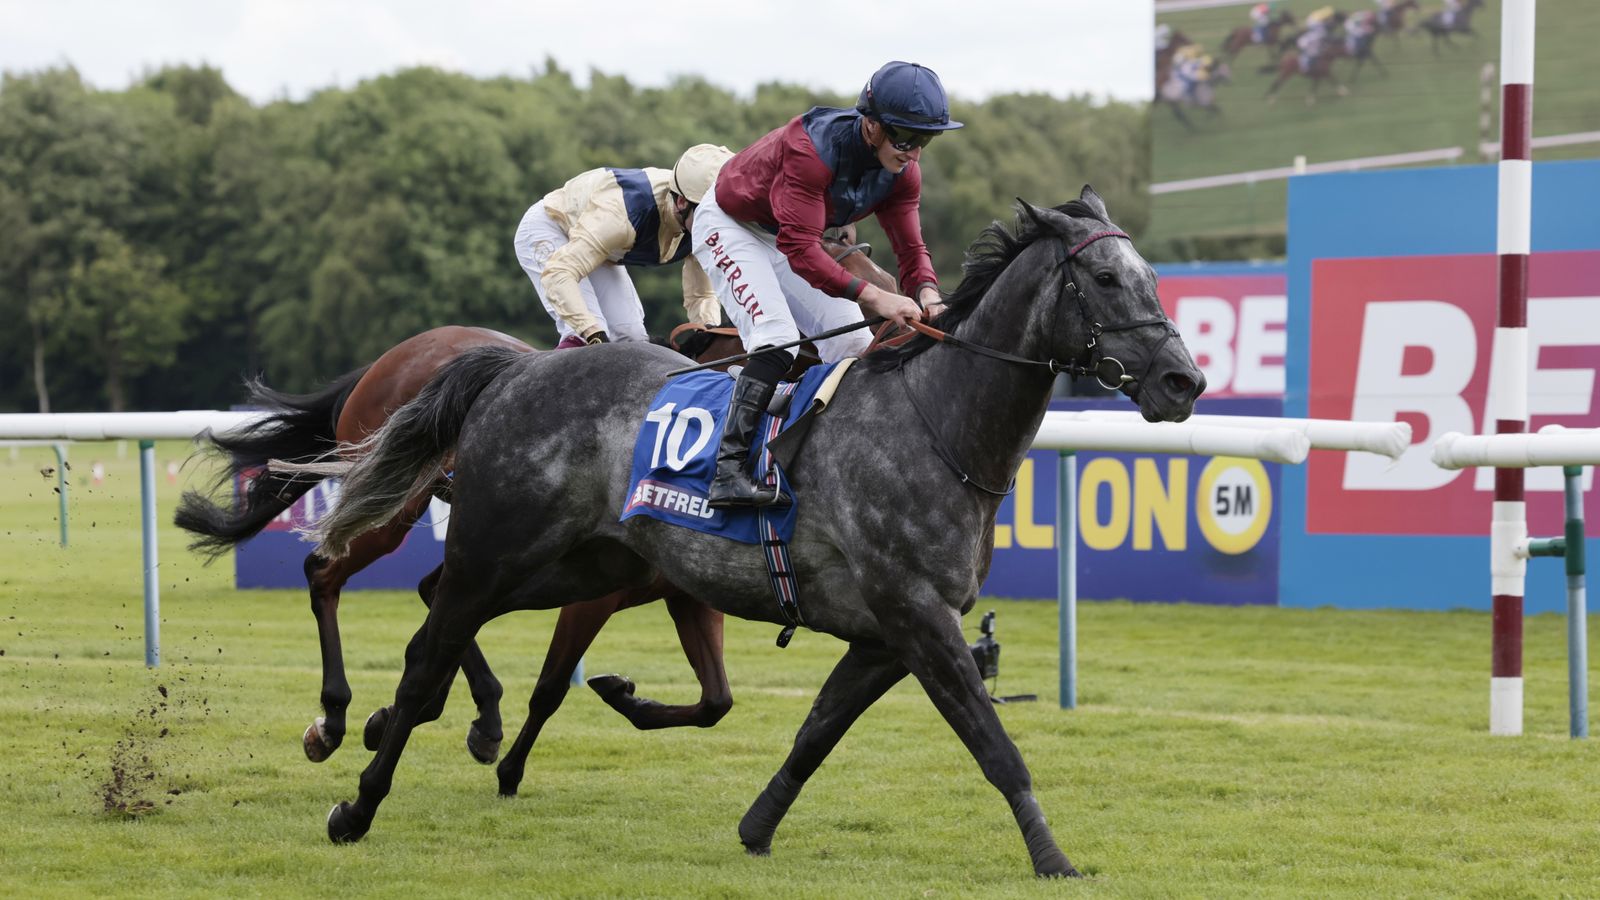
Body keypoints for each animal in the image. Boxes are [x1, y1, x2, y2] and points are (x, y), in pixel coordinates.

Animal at [180, 232, 902, 784]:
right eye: (860, 292)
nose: (903, 334)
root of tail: (393, 356)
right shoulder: (597, 591)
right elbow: (554, 685)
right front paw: (511, 763)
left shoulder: (684, 593)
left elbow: (716, 700)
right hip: (397, 506)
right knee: (326, 574)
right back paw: (334, 719)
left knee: (432, 593)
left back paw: (463, 716)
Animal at [302, 188, 1203, 877]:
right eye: (1104, 277)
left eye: (1152, 278)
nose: (1182, 380)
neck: (934, 423)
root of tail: (517, 369)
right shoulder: (918, 617)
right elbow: (993, 743)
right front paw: (1054, 858)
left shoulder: (886, 634)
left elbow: (814, 734)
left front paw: (754, 826)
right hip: (497, 549)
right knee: (415, 644)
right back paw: (355, 794)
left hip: (579, 568)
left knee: (435, 626)